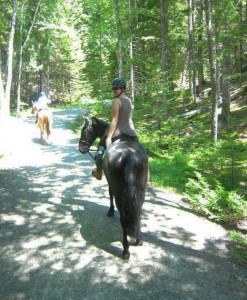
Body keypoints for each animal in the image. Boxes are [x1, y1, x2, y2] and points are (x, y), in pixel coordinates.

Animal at [79, 117, 149, 260]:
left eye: (84, 130)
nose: (81, 148)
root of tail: (129, 154)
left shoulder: (110, 182)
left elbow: (109, 193)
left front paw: (110, 211)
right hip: (141, 191)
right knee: (138, 213)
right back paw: (138, 240)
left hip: (120, 193)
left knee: (123, 218)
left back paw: (126, 250)